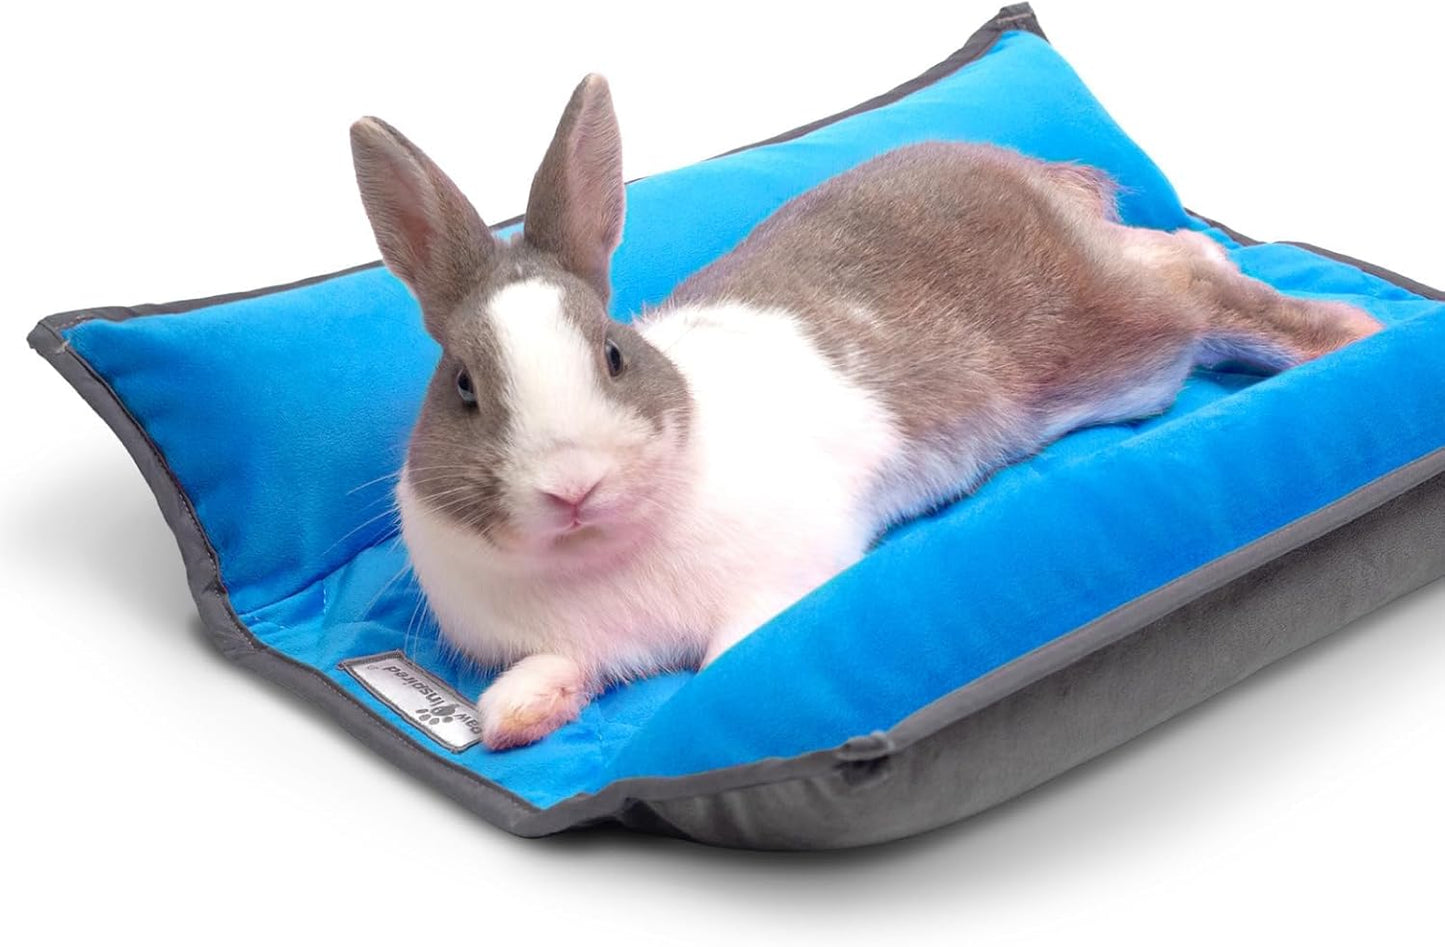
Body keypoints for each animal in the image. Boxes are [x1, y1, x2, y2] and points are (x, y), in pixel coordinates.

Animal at [350, 75, 1382, 750]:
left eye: (611, 352)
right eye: (463, 387)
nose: (572, 485)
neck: (598, 556)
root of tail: (1032, 177)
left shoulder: (781, 582)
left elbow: (726, 663)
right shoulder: (565, 643)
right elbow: (531, 682)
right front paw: (517, 719)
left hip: (1129, 350)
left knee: (1199, 286)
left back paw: (1351, 333)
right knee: (1182, 252)